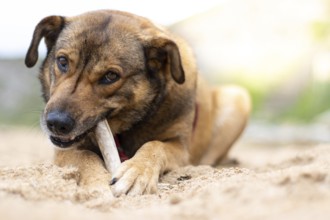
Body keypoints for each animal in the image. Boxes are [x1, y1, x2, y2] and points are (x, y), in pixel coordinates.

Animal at [25, 9, 250, 196]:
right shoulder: (64, 150)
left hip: (239, 98)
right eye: (62, 61)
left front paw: (137, 172)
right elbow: (86, 156)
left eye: (110, 76)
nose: (56, 123)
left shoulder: (180, 148)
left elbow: (155, 146)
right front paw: (97, 182)